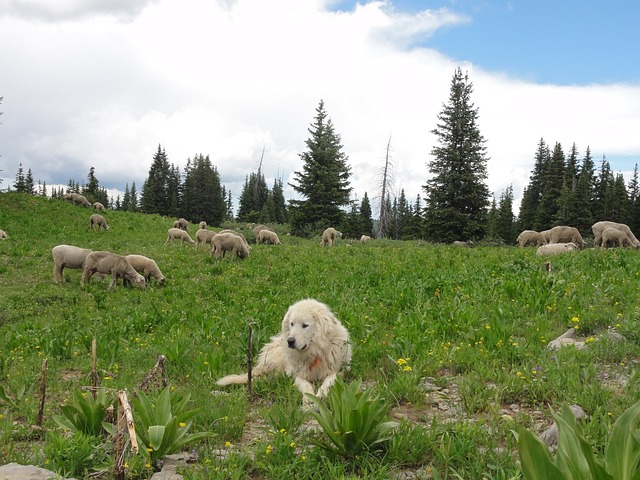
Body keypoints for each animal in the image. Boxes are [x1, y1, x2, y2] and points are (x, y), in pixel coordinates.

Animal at [218, 298, 352, 406]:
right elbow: (306, 386)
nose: (290, 341)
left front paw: (320, 396)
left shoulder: (338, 372)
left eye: (305, 325)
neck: (315, 353)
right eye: (292, 324)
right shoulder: (299, 375)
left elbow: (327, 383)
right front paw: (309, 398)